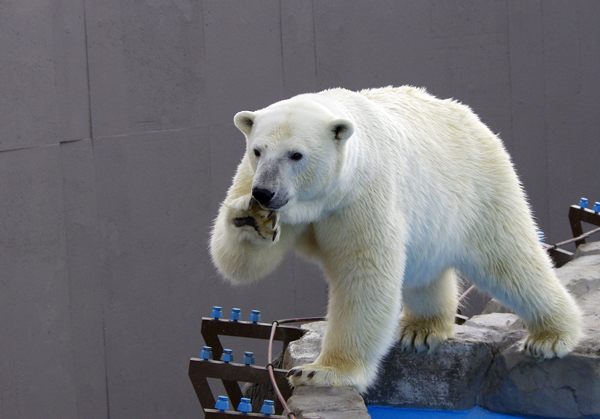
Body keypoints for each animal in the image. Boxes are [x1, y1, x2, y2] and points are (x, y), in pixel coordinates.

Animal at [210, 87, 580, 392]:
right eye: (258, 150)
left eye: (296, 154)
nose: (265, 193)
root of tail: (470, 117)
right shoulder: (253, 178)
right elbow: (242, 263)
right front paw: (251, 217)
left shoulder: (362, 195)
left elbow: (364, 274)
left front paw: (322, 371)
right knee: (426, 270)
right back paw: (422, 329)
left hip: (480, 187)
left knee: (510, 259)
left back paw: (552, 337)